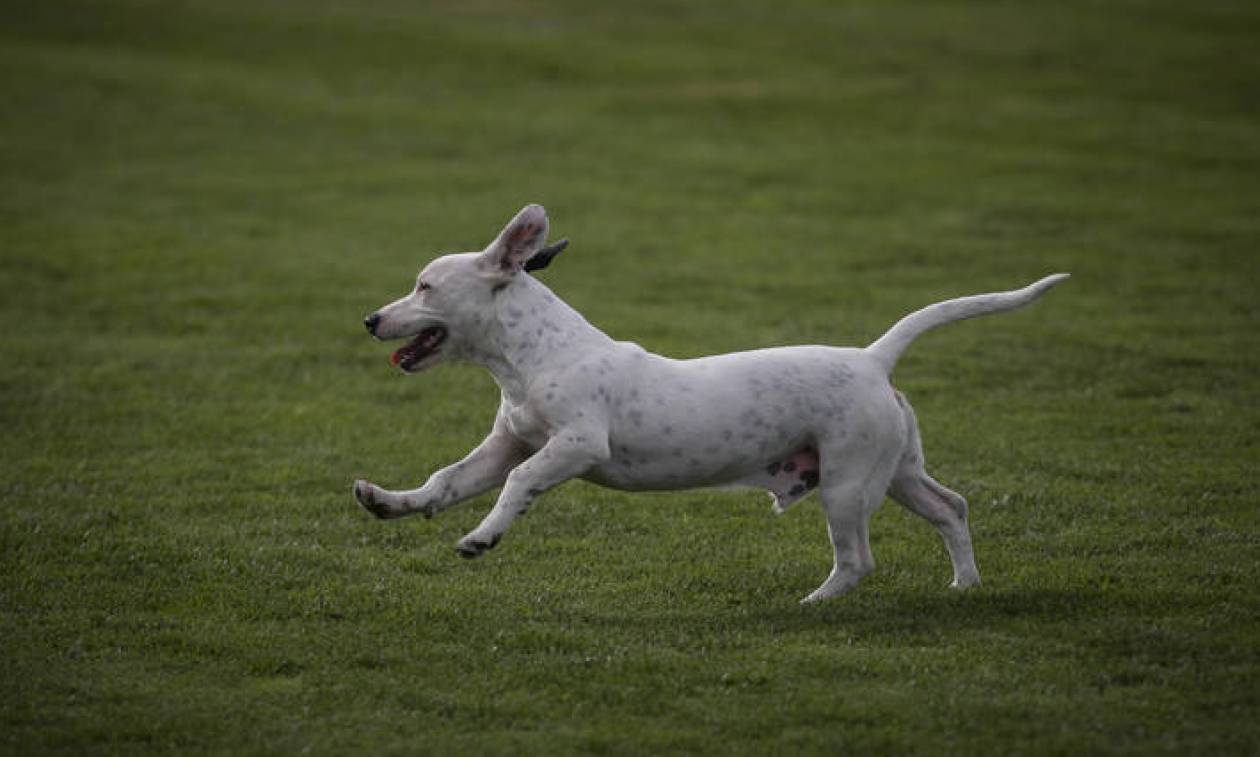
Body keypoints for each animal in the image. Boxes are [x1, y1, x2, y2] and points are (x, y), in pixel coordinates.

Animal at [357, 205, 1073, 602]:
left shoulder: (575, 446)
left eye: (424, 286)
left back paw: (814, 602)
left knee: (859, 559)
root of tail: (873, 357)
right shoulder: (507, 443)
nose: (370, 319)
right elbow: (448, 480)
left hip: (848, 484)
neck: (534, 356)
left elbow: (521, 483)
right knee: (951, 507)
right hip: (894, 470)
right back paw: (964, 586)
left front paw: (483, 537)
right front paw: (391, 502)